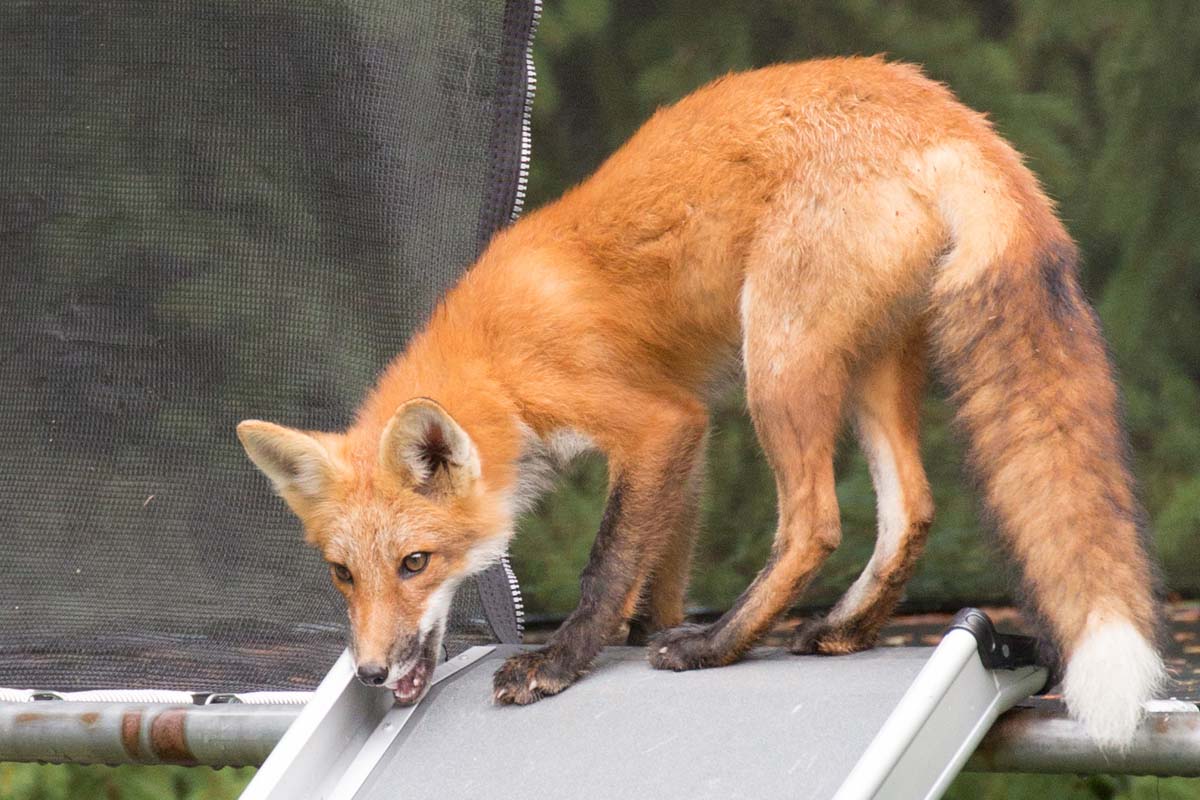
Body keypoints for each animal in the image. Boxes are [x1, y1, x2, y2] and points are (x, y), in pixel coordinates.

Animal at [237, 57, 1164, 748]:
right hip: (866, 367)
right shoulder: (685, 439)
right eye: (342, 573)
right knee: (913, 509)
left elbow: (609, 562)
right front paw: (639, 631)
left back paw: (719, 647)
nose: (368, 671)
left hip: (778, 362)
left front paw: (561, 661)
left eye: (415, 563)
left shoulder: (656, 423)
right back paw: (841, 629)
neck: (497, 362)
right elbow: (660, 568)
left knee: (815, 522)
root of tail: (945, 110)